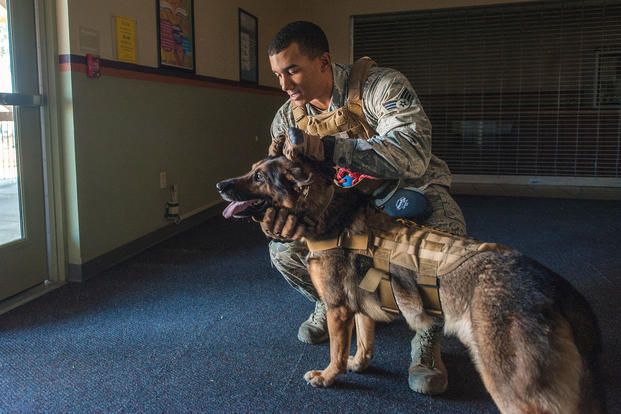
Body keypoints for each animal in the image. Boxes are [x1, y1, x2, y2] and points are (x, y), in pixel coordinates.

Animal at [216, 156, 604, 414]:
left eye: (259, 176)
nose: (219, 186)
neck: (326, 213)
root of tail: (549, 282)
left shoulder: (339, 309)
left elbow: (336, 352)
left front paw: (329, 377)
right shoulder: (359, 308)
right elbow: (364, 343)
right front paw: (359, 364)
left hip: (511, 389)